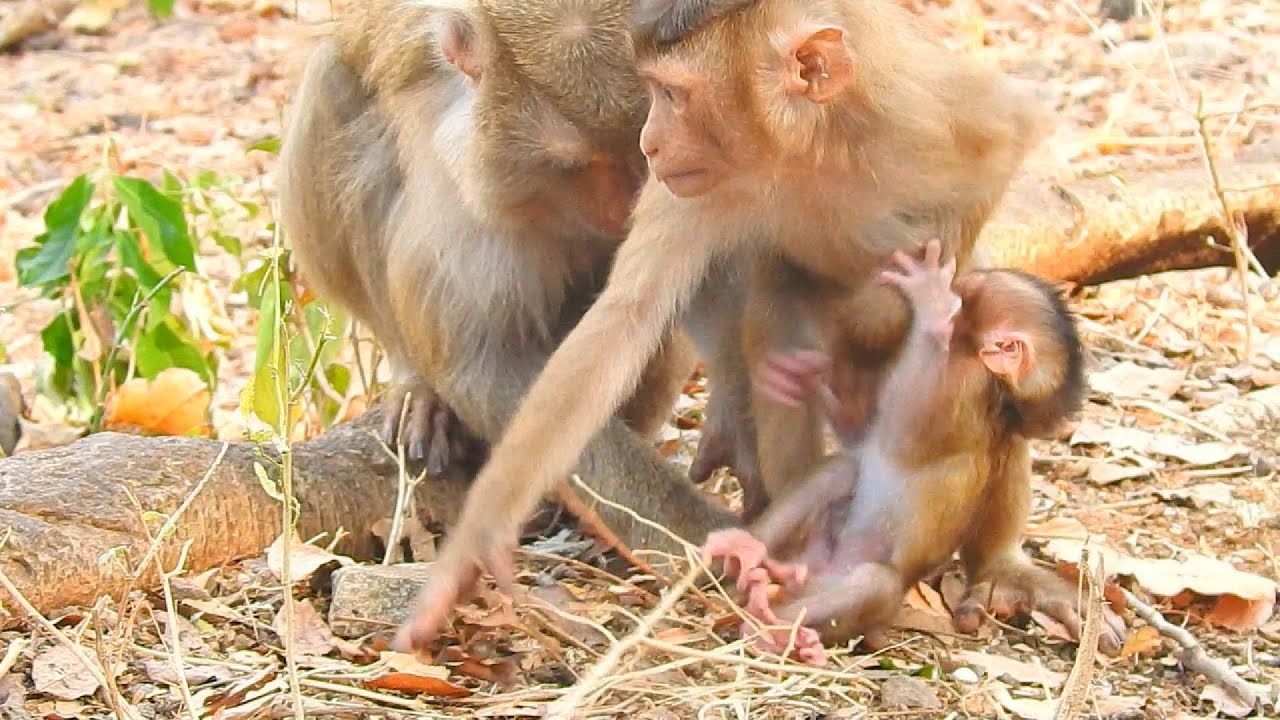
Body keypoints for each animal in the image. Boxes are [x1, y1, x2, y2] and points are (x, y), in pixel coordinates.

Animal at [279, 0, 762, 607]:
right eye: (573, 163)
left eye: (645, 145)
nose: (627, 207)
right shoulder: (468, 195)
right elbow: (488, 365)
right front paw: (703, 535)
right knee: (334, 81)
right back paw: (419, 387)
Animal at [701, 243, 1126, 664]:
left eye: (969, 293)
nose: (960, 281)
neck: (1001, 395)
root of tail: (809, 570)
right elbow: (862, 433)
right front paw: (803, 378)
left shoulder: (964, 383)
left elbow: (900, 431)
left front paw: (933, 302)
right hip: (804, 554)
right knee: (838, 473)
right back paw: (745, 555)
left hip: (844, 580)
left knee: (874, 582)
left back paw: (768, 627)